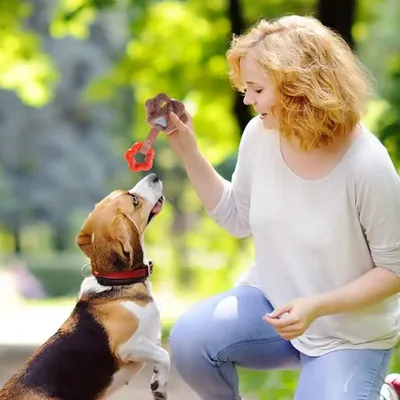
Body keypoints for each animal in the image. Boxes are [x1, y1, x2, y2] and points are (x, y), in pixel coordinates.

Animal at [0, 173, 169, 398]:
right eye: (134, 200)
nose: (154, 176)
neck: (116, 281)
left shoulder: (152, 338)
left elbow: (160, 354)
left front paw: (158, 381)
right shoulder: (128, 346)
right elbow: (165, 354)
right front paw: (160, 387)